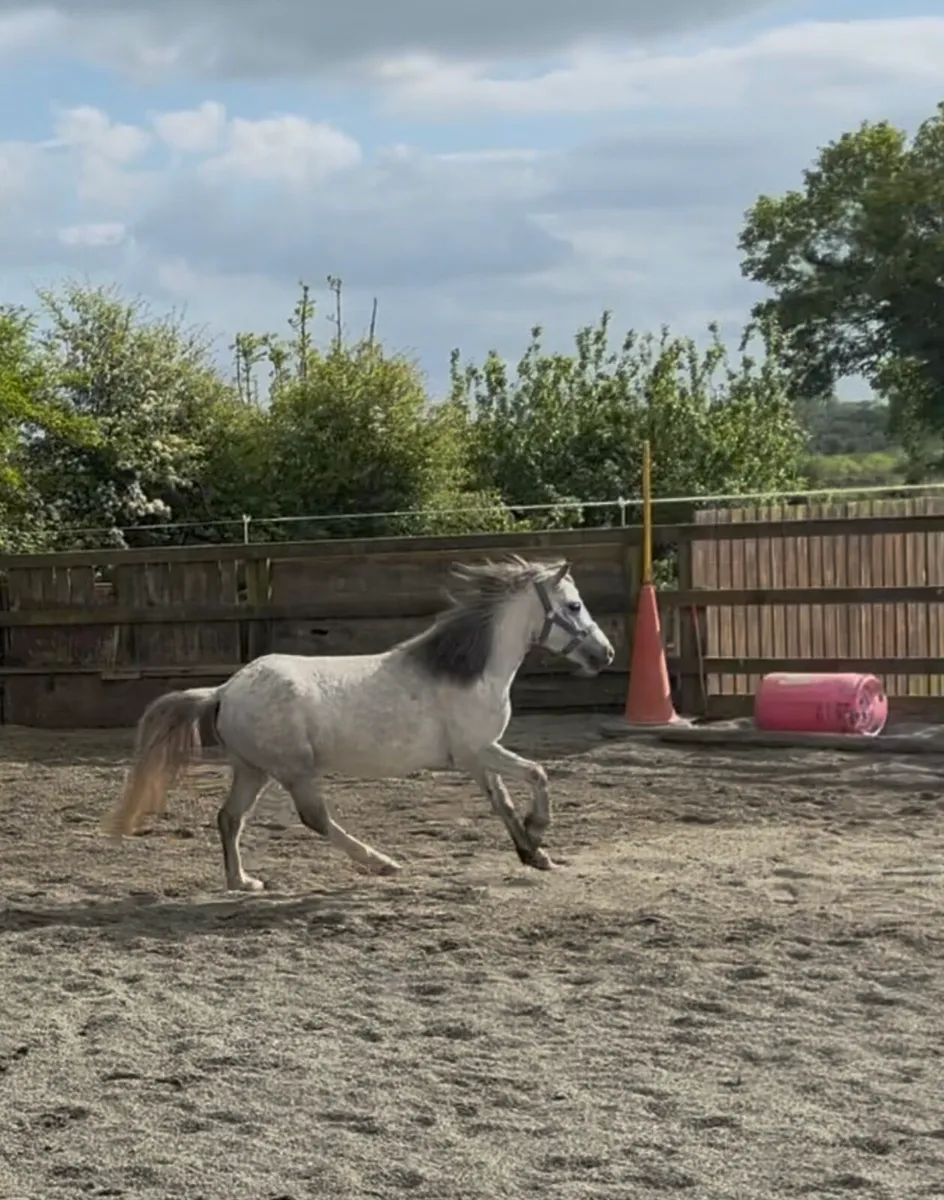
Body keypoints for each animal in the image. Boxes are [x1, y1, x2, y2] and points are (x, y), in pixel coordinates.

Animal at [105, 554, 615, 889]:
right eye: (573, 605)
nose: (605, 654)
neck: (466, 671)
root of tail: (224, 690)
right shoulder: (478, 749)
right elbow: (537, 774)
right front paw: (538, 834)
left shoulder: (475, 758)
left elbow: (503, 801)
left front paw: (535, 853)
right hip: (292, 769)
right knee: (313, 817)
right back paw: (381, 862)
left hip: (254, 769)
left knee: (230, 818)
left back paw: (243, 882)